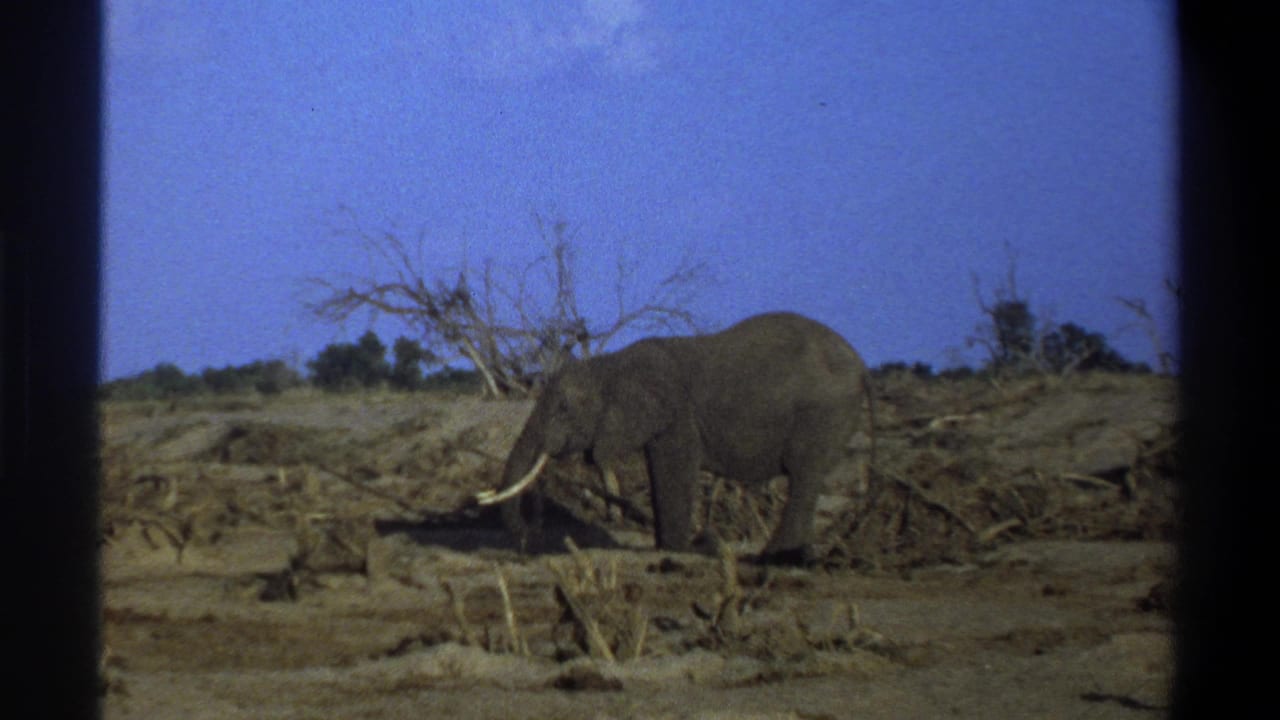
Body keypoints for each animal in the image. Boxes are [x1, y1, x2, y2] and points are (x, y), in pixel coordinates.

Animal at [475, 312, 874, 565]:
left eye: (563, 409)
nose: (528, 539)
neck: (611, 364)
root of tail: (861, 366)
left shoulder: (678, 415)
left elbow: (674, 469)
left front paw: (677, 549)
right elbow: (658, 469)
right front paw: (670, 546)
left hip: (822, 412)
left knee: (804, 475)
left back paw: (774, 557)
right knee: (808, 478)